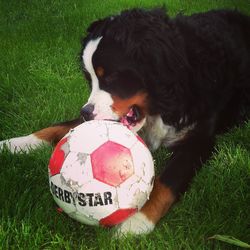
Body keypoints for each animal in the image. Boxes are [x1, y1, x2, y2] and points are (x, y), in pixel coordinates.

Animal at [1, 7, 250, 236]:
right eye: (88, 78)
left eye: (111, 77)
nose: (86, 112)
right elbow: (61, 126)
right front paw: (18, 143)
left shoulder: (199, 141)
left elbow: (167, 180)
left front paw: (137, 221)